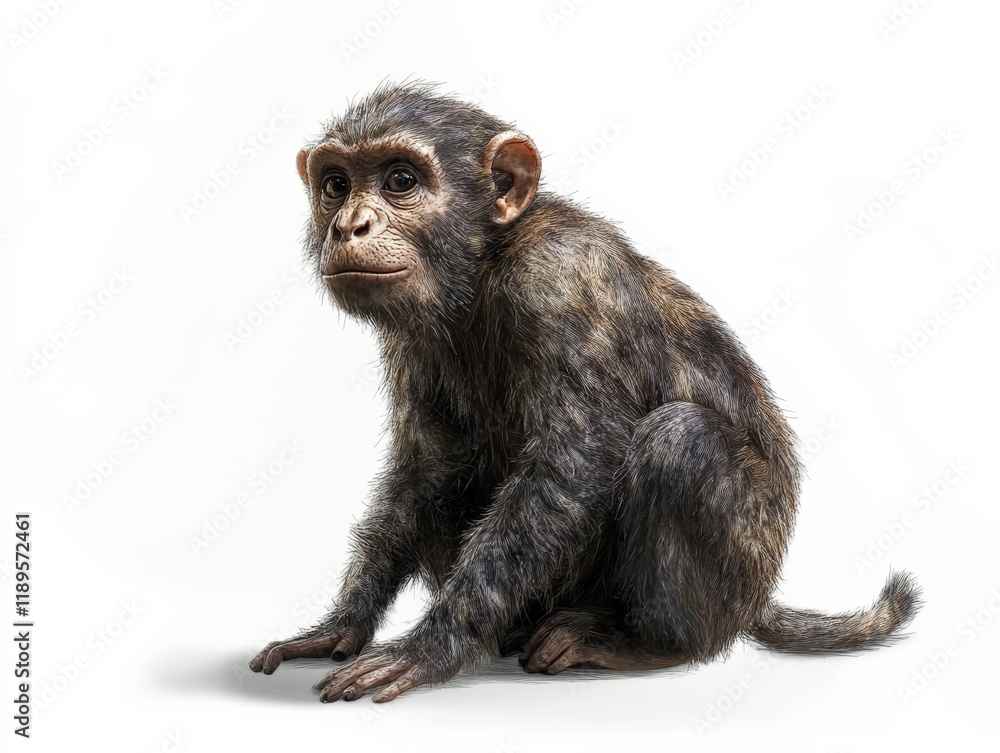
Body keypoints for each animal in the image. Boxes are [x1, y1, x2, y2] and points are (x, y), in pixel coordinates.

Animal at [248, 82, 921, 703]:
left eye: (400, 180)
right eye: (336, 184)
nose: (350, 222)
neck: (485, 263)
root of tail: (759, 602)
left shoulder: (561, 279)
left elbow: (570, 467)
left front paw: (430, 647)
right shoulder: (411, 343)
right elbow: (425, 470)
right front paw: (340, 625)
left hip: (732, 588)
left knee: (683, 441)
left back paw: (641, 643)